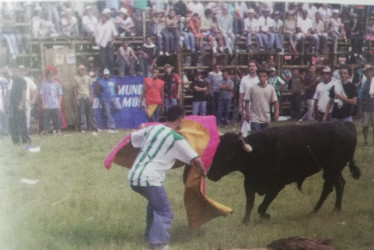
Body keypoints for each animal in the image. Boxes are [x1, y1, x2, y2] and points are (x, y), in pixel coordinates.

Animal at [206, 121, 360, 225]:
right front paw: (245, 222)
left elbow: (261, 206)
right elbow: (249, 204)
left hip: (331, 169)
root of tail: (346, 124)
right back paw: (336, 209)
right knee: (339, 184)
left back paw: (314, 212)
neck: (259, 151)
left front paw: (266, 216)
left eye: (229, 153)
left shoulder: (277, 185)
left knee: (328, 188)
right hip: (334, 170)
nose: (210, 174)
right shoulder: (249, 183)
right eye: (218, 149)